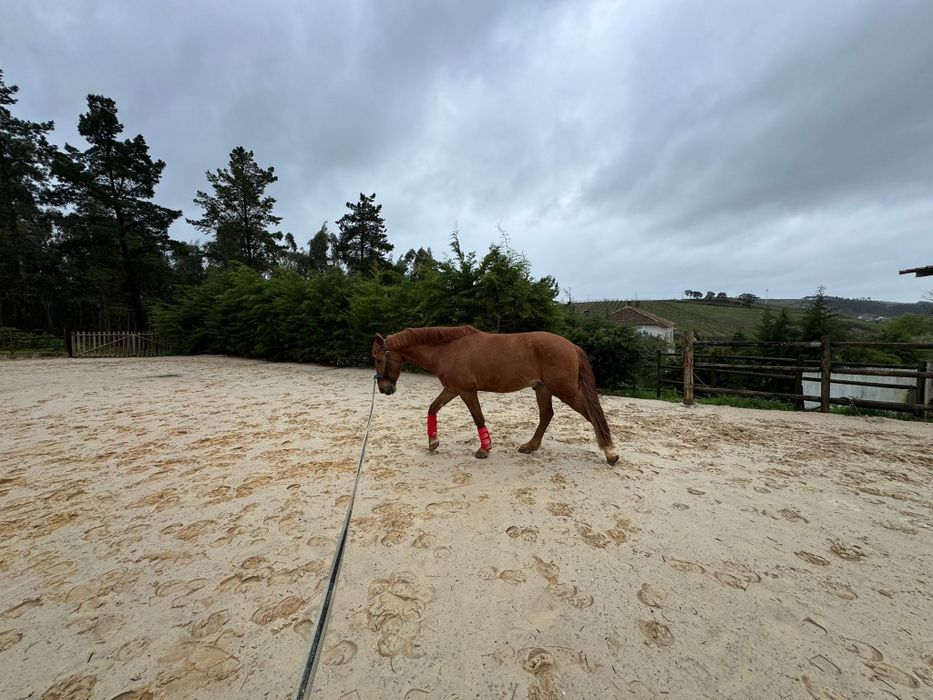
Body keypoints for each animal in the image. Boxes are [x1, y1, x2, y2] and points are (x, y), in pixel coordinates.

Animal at [371, 326, 620, 465]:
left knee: (592, 415)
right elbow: (433, 407)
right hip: (543, 389)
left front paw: (484, 449)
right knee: (546, 415)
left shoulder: (466, 391)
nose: (384, 389)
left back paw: (610, 453)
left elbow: (478, 418)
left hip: (565, 391)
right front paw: (433, 442)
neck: (449, 350)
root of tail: (572, 346)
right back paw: (530, 446)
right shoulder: (452, 389)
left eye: (378, 358)